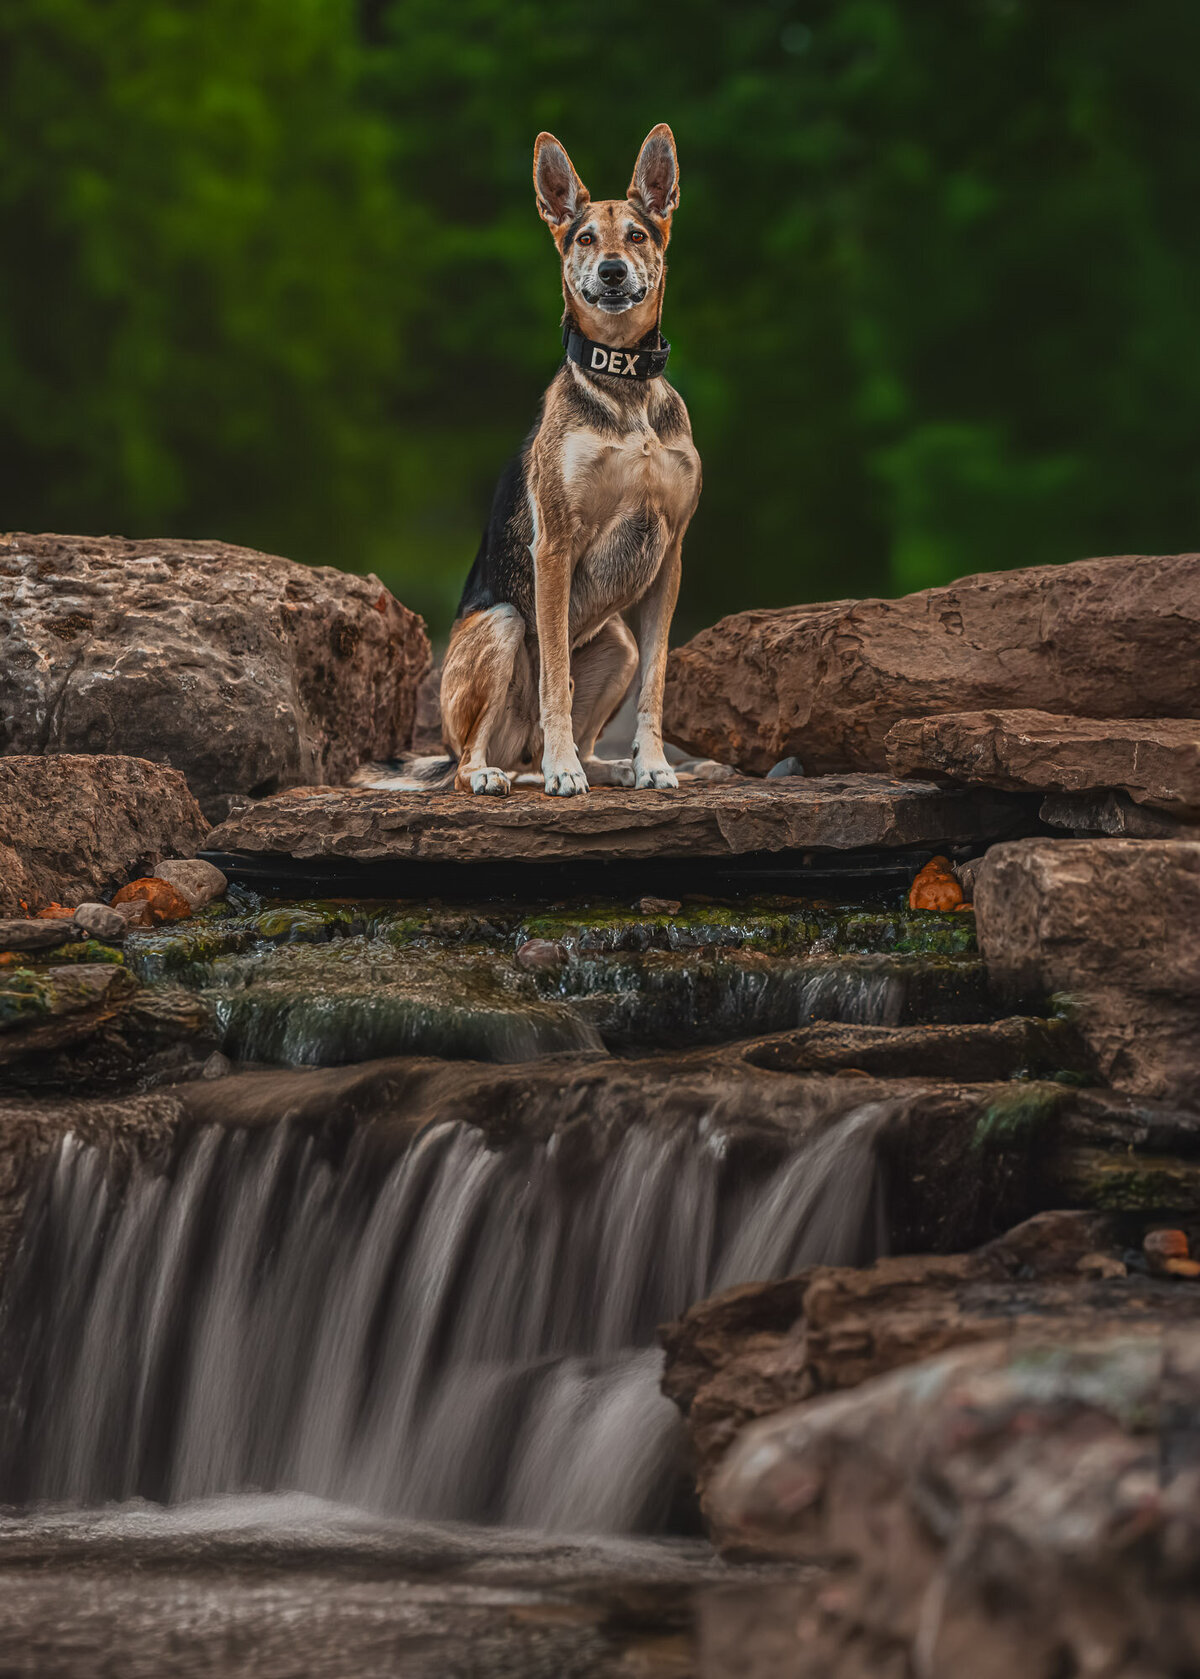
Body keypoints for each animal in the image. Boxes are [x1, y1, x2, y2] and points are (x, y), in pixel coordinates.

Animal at [407, 122, 698, 792]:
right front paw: (563, 772)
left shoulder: (671, 553)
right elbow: (555, 679)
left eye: (638, 235)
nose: (613, 272)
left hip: (618, 643)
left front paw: (653, 764)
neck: (624, 383)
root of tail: (518, 753)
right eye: (584, 238)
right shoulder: (556, 545)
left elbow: (656, 683)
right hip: (503, 624)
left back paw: (606, 767)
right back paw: (506, 772)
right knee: (470, 758)